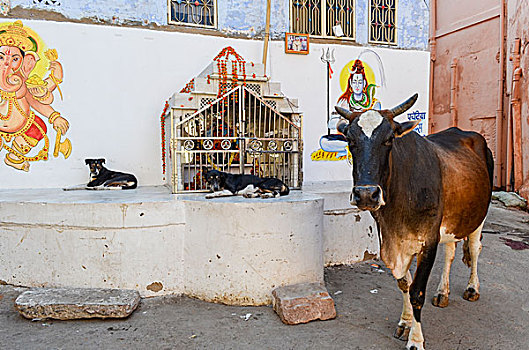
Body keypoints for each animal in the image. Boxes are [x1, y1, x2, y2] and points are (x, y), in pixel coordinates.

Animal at [336, 93, 492, 350]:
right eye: (349, 139)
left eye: (389, 139)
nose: (367, 194)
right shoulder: (391, 240)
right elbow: (404, 284)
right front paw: (405, 322)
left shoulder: (428, 241)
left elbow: (417, 292)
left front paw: (416, 341)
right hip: (452, 221)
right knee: (450, 252)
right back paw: (443, 293)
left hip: (479, 214)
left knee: (474, 248)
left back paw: (472, 288)